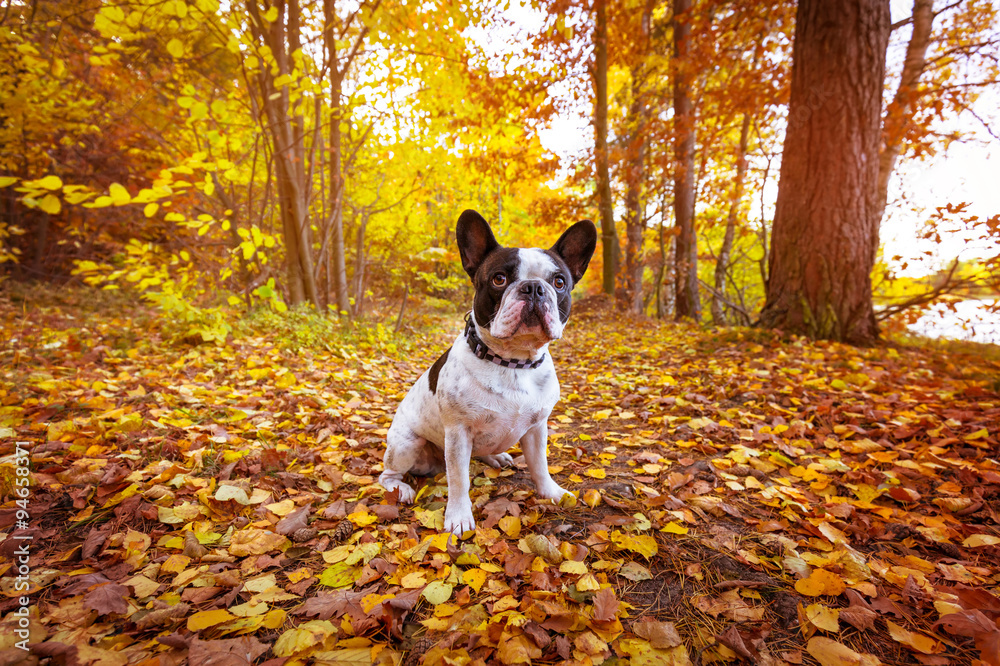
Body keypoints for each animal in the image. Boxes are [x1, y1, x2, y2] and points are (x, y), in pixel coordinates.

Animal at [376, 210, 592, 532]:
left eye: (559, 282)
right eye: (499, 279)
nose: (534, 287)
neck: (513, 362)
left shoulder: (537, 427)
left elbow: (540, 465)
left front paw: (551, 492)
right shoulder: (458, 434)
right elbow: (458, 479)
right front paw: (458, 516)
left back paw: (496, 456)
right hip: (406, 444)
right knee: (388, 474)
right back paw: (399, 488)